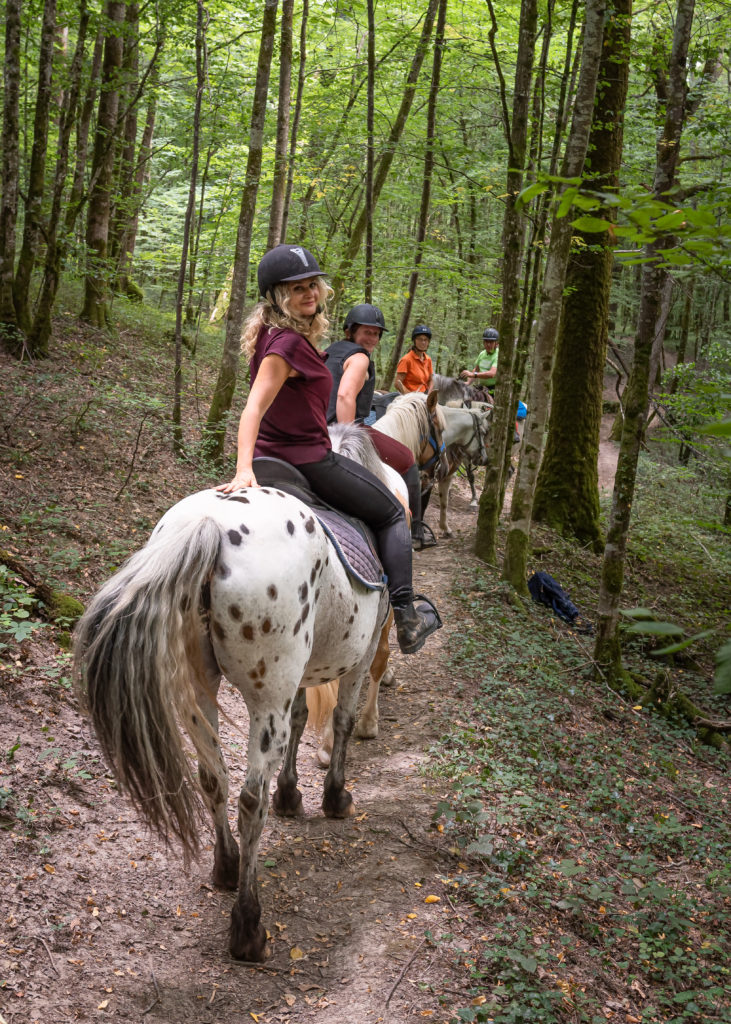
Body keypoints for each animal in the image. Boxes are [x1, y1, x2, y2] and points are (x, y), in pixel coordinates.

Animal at [74, 479, 391, 958]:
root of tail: (208, 525)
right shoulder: (363, 651)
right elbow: (342, 721)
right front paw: (334, 796)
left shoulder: (301, 676)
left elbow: (302, 718)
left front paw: (291, 794)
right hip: (266, 697)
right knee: (249, 799)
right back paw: (247, 924)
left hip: (198, 688)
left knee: (213, 778)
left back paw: (225, 865)